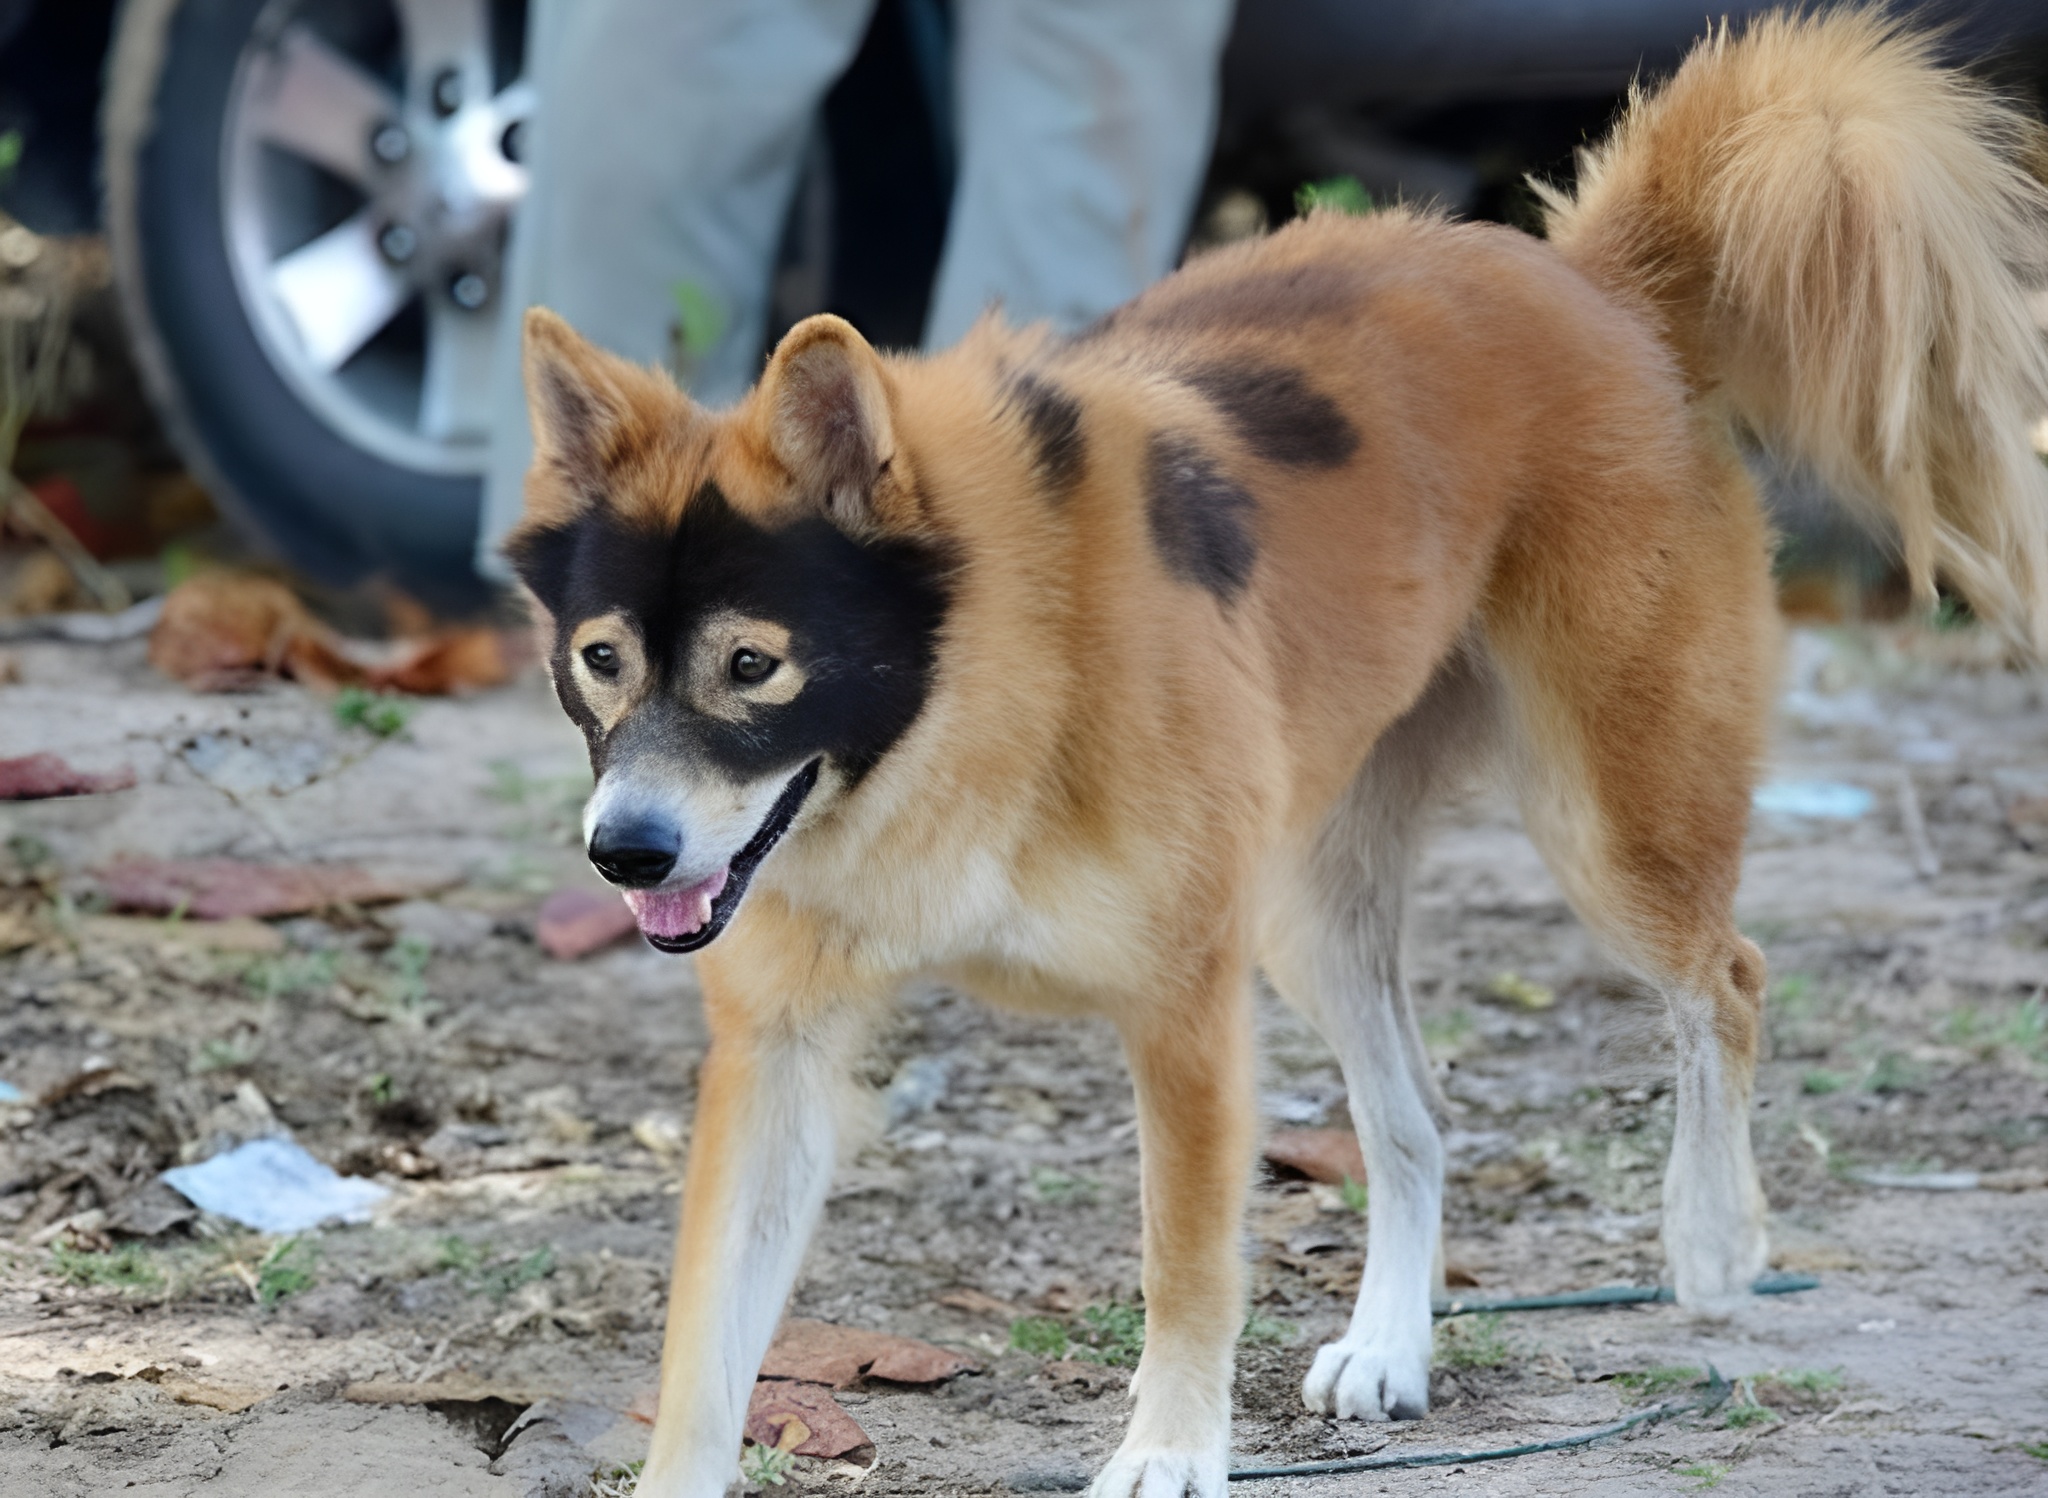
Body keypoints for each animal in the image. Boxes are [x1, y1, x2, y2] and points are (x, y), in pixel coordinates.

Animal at [499, 14, 2048, 1498]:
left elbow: (1184, 1263)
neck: (972, 688)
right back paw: (1391, 1344)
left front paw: (1171, 1448)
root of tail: (1589, 282)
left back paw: (1714, 1241)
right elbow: (708, 1332)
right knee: (1415, 1115)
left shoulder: (1185, 1010)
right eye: (601, 661)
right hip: (1309, 908)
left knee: (1725, 976)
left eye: (753, 665)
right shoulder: (778, 1048)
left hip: (1605, 818)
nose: (623, 852)